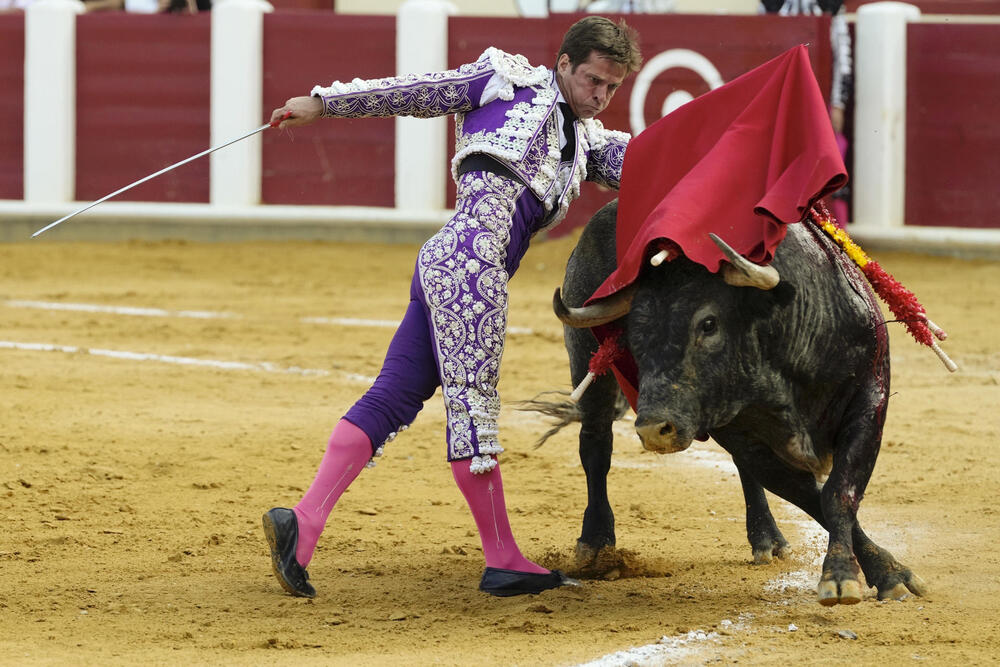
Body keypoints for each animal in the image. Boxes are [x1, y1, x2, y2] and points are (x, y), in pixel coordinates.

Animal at [544, 201, 924, 608]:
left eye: (709, 323)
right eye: (631, 335)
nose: (654, 429)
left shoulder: (870, 396)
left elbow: (839, 492)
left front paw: (877, 575)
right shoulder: (743, 436)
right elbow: (814, 496)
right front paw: (855, 574)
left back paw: (766, 539)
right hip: (588, 366)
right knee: (596, 446)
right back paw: (596, 545)